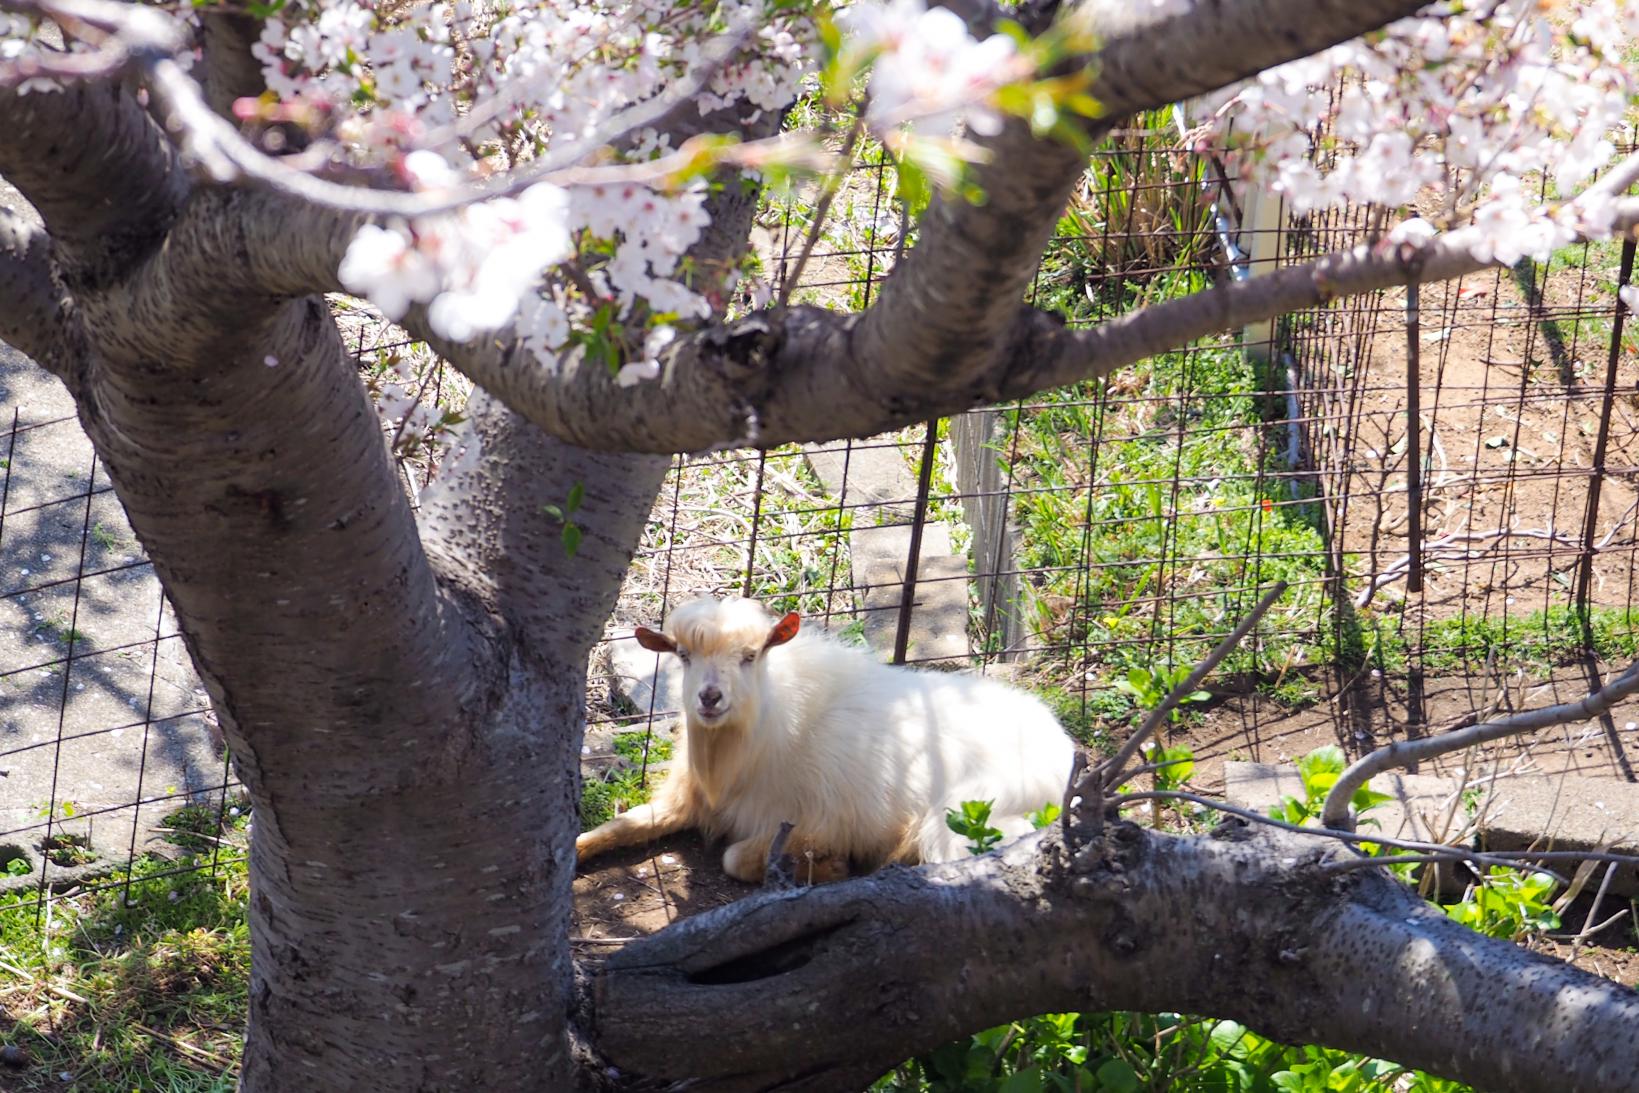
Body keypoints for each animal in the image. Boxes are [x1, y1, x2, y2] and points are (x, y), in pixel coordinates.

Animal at [576, 593, 1075, 884]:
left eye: (751, 656)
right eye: (682, 654)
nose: (710, 698)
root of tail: (1063, 748)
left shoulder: (816, 821)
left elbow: (735, 858)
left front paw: (831, 866)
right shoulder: (686, 798)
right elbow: (622, 825)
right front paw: (576, 852)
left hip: (972, 815)